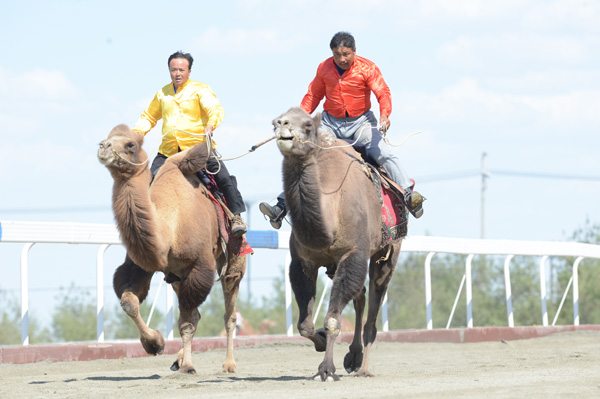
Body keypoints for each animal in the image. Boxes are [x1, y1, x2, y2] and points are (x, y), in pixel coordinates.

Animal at [96, 125, 246, 376]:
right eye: (107, 138)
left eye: (130, 145)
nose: (103, 147)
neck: (170, 227)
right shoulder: (141, 266)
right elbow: (129, 302)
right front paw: (154, 343)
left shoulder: (199, 267)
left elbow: (186, 322)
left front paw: (188, 366)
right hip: (176, 276)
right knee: (195, 313)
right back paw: (177, 359)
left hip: (233, 259)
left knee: (229, 312)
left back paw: (229, 364)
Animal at [274, 108, 404, 382]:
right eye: (274, 122)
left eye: (308, 125)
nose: (282, 124)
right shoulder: (303, 261)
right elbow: (305, 325)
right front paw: (322, 343)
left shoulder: (354, 253)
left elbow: (333, 320)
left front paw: (326, 370)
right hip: (336, 265)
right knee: (360, 295)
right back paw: (352, 357)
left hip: (386, 255)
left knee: (373, 306)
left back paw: (364, 368)